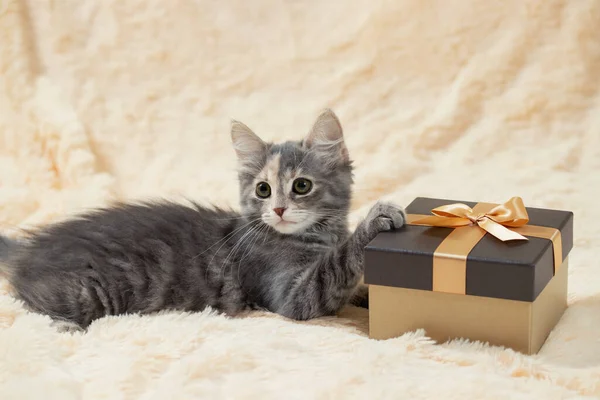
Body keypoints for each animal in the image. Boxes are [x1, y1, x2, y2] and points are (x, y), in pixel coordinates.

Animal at [0, 110, 406, 332]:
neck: (320, 236)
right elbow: (336, 269)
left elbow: (358, 285)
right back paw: (64, 324)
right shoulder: (292, 294)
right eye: (263, 190)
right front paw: (375, 220)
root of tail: (32, 248)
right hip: (88, 291)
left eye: (301, 186)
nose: (277, 210)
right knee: (28, 304)